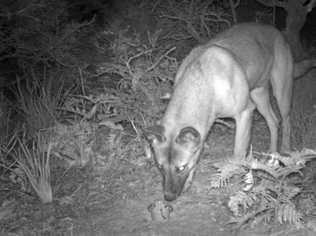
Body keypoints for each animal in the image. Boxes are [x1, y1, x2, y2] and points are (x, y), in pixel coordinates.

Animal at [149, 22, 312, 201]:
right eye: (160, 166)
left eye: (181, 167)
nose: (168, 197)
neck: (205, 80)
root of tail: (277, 31)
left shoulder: (244, 113)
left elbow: (237, 155)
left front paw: (238, 184)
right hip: (259, 94)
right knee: (274, 122)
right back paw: (272, 156)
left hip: (281, 92)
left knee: (286, 121)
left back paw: (285, 152)